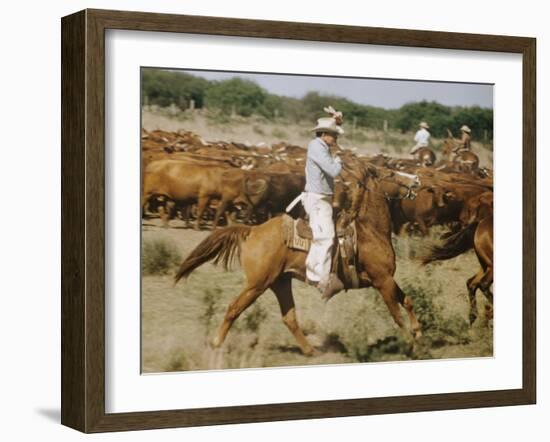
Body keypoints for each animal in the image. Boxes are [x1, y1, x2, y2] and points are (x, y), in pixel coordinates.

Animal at [175, 166, 424, 356]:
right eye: (391, 173)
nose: (417, 180)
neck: (370, 232)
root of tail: (253, 230)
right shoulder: (382, 281)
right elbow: (397, 314)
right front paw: (410, 344)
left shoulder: (386, 280)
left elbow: (408, 301)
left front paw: (418, 333)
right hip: (257, 285)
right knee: (234, 308)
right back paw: (216, 343)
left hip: (280, 282)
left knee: (289, 318)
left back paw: (310, 350)